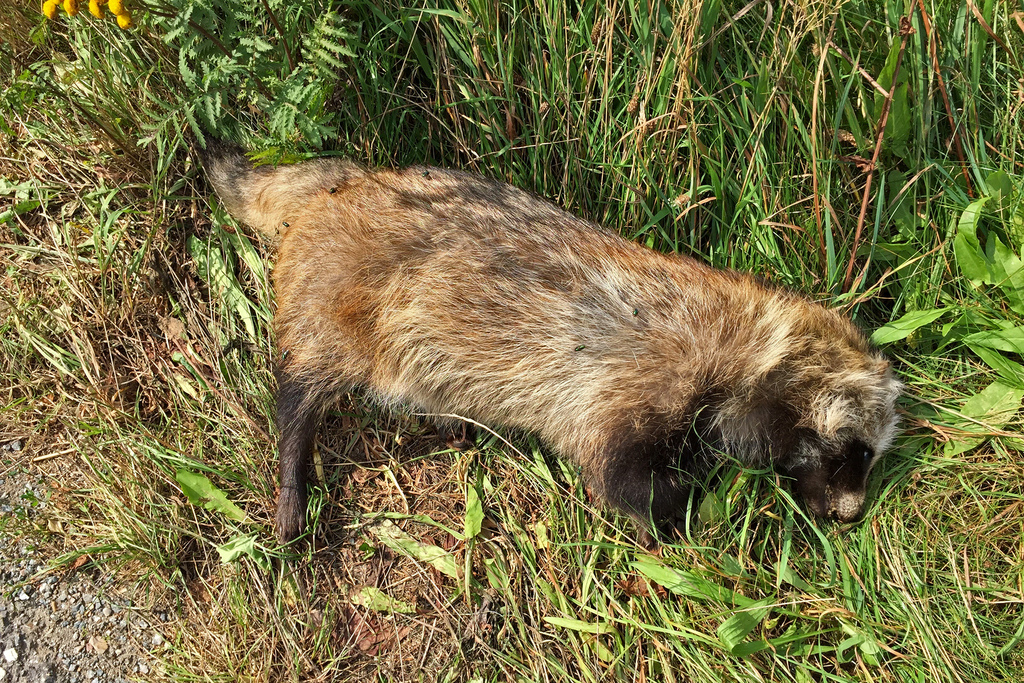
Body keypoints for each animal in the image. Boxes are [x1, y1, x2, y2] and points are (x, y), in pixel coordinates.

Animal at [200, 141, 901, 545]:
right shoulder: (636, 383)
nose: (851, 513)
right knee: (300, 391)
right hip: (332, 304)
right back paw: (293, 471)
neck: (758, 343)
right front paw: (691, 507)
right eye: (858, 452)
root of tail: (342, 186)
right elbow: (620, 477)